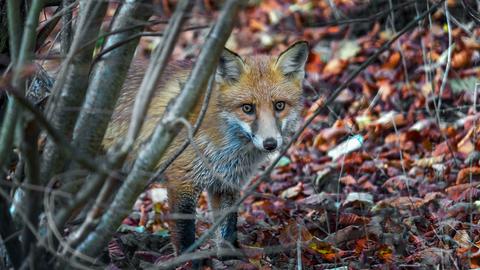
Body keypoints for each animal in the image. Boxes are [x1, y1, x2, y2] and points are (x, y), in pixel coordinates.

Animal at [103, 40, 310, 258]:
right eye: (247, 108)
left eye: (279, 105)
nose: (270, 143)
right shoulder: (181, 181)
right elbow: (185, 236)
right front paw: (188, 262)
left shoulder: (225, 184)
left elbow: (227, 230)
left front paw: (229, 260)